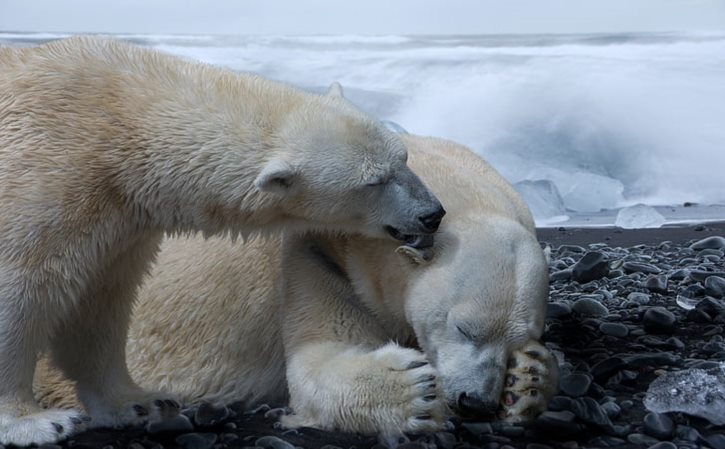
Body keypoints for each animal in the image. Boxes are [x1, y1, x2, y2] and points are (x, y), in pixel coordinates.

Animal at [0, 37, 444, 444]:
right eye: (374, 181)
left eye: (403, 158)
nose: (432, 213)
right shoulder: (44, 180)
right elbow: (20, 291)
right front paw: (34, 422)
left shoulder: (118, 221)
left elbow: (99, 304)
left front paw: (140, 402)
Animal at [35, 135, 560, 436]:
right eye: (463, 328)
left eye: (521, 338)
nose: (475, 402)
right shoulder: (316, 254)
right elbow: (320, 357)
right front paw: (412, 392)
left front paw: (528, 380)